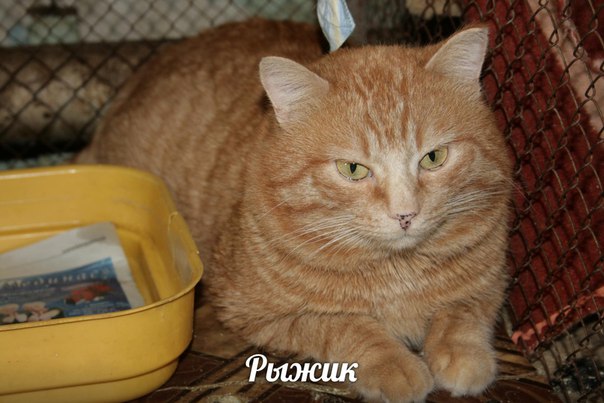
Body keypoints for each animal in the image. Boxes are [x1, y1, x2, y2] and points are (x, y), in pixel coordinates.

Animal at [76, 18, 513, 402]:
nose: (405, 214)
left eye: (434, 157)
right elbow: (343, 325)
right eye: (352, 169)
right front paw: (394, 365)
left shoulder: (491, 283)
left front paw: (462, 355)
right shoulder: (254, 314)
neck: (397, 269)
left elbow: (463, 312)